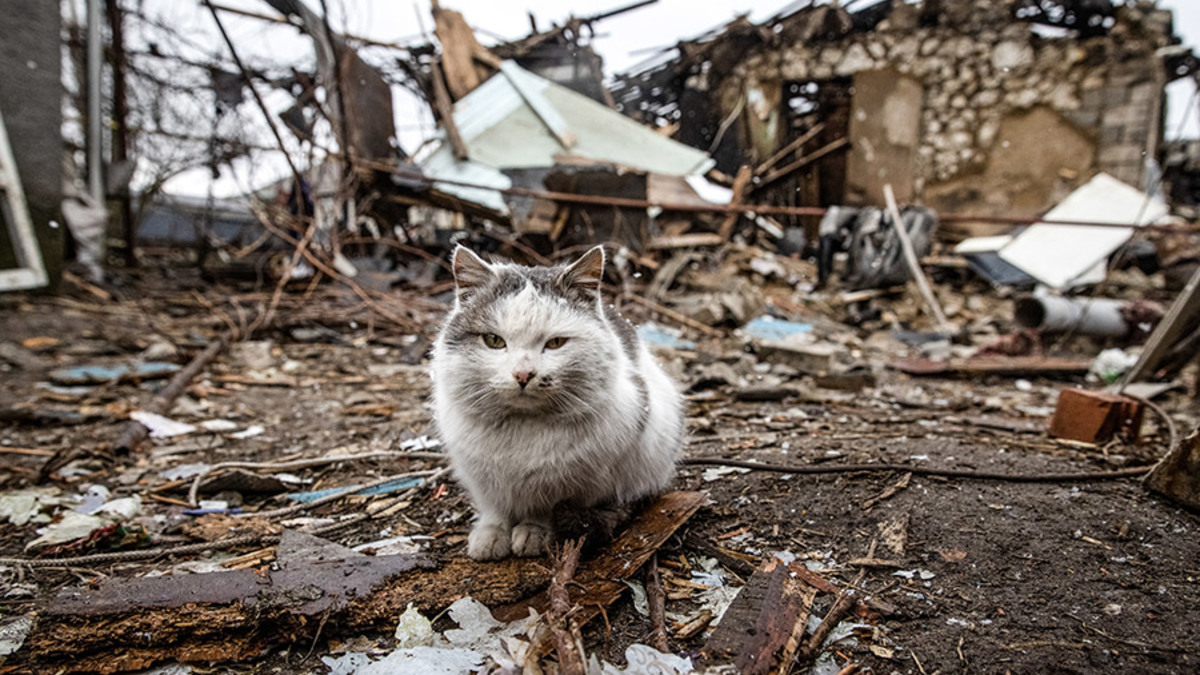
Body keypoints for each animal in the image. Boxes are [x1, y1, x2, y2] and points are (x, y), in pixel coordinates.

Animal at [432, 243, 681, 559]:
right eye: (493, 340)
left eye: (555, 343)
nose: (523, 374)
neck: (521, 428)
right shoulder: (481, 478)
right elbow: (495, 508)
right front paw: (490, 535)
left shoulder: (570, 484)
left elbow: (544, 507)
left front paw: (533, 533)